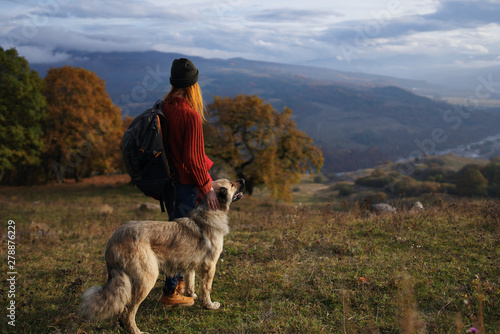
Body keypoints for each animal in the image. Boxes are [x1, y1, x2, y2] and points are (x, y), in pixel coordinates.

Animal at [81, 179, 245, 332]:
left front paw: (191, 296)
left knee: (122, 305)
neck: (210, 211)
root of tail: (113, 240)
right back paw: (136, 331)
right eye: (231, 184)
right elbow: (207, 289)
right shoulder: (210, 265)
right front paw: (209, 305)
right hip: (147, 279)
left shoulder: (191, 264)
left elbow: (190, 282)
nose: (242, 180)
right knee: (128, 312)